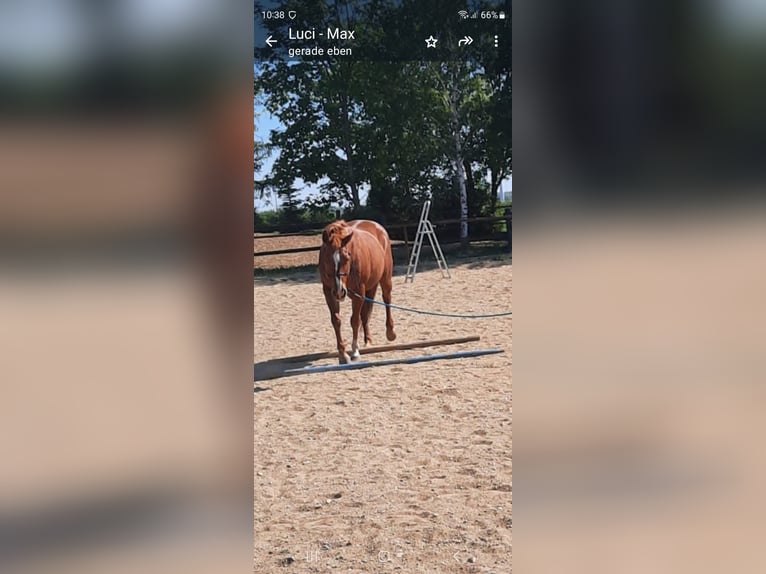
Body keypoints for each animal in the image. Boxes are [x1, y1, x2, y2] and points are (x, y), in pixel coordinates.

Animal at [320, 220, 400, 364]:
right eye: (326, 258)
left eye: (347, 257)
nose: (340, 291)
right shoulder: (329, 292)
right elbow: (336, 321)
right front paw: (343, 354)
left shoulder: (358, 292)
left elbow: (355, 321)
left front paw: (355, 351)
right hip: (368, 288)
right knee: (365, 314)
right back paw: (367, 340)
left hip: (385, 280)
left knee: (387, 300)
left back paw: (390, 332)